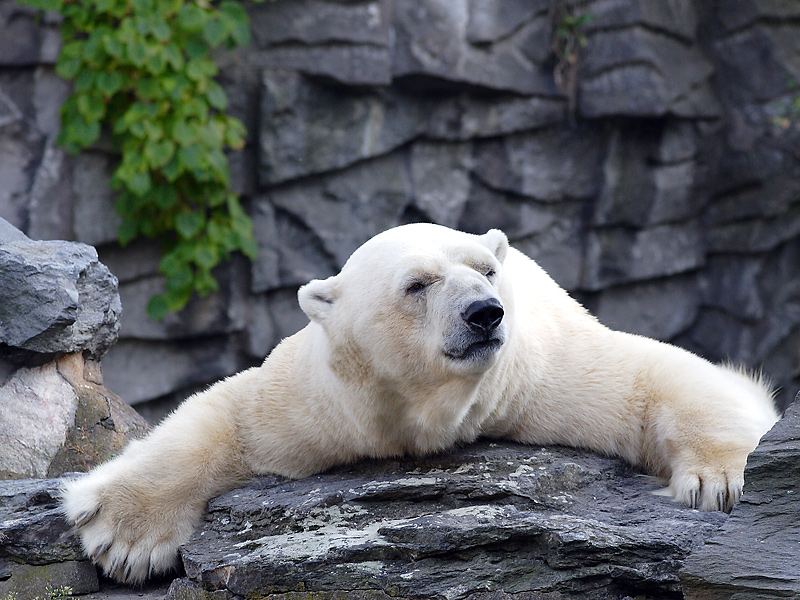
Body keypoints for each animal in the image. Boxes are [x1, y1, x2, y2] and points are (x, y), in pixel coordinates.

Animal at [62, 223, 780, 584]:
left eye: (487, 272)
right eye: (417, 284)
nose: (485, 314)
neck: (425, 406)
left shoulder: (539, 371)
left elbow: (650, 375)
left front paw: (717, 479)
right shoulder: (323, 397)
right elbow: (226, 414)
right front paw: (124, 536)